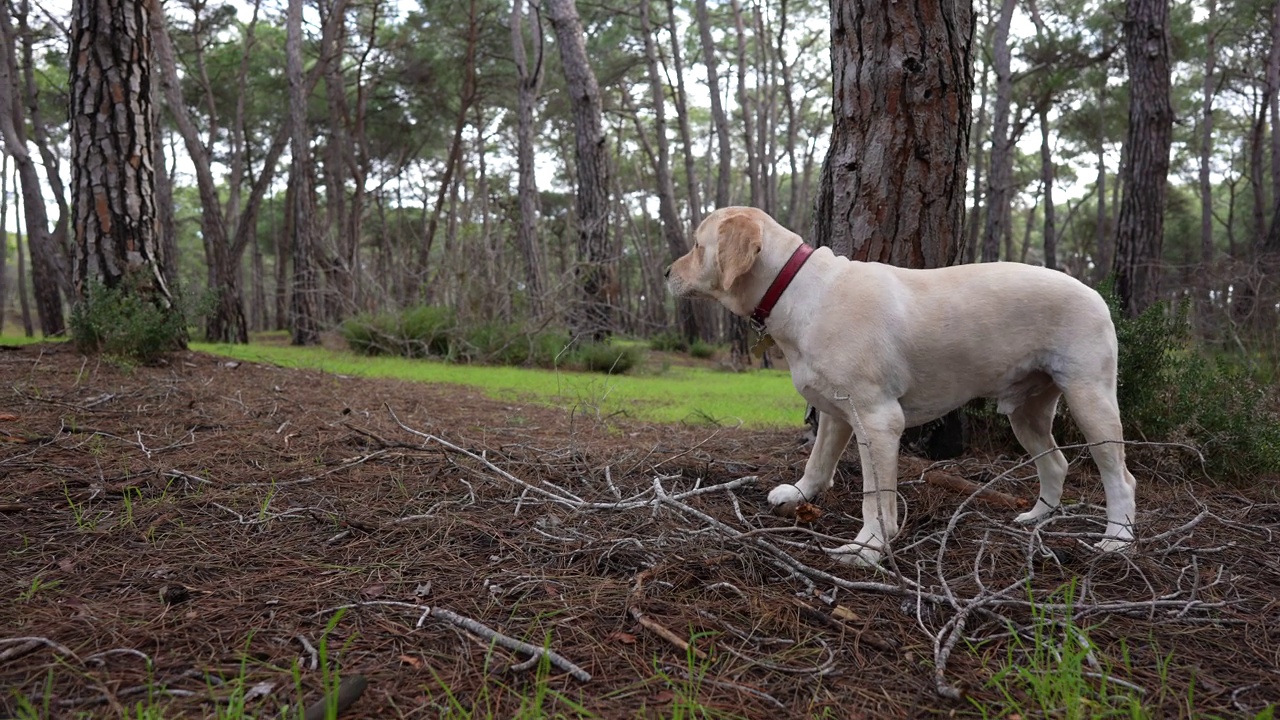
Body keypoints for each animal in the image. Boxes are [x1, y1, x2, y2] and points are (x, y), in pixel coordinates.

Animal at [665, 204, 1136, 563]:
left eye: (697, 246)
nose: (667, 272)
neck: (799, 291)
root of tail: (1096, 294)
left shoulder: (877, 420)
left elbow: (875, 496)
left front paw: (869, 546)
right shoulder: (837, 413)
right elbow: (817, 462)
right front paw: (799, 494)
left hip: (1090, 401)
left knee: (1120, 477)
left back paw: (1117, 538)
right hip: (1027, 413)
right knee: (1056, 464)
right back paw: (1036, 517)